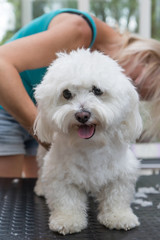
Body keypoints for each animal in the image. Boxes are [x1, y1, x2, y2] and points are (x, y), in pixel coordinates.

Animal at [33, 48, 142, 234]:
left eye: (97, 90)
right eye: (66, 93)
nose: (82, 115)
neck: (90, 146)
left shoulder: (121, 172)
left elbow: (117, 196)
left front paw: (118, 216)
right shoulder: (60, 175)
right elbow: (66, 199)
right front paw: (68, 219)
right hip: (42, 154)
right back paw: (41, 188)